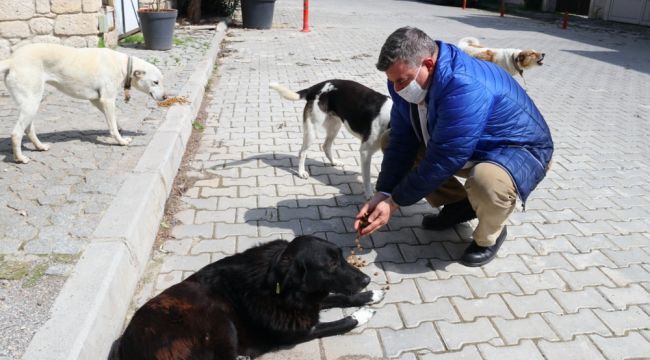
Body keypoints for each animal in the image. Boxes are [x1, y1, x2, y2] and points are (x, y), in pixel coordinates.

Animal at [1, 42, 167, 165]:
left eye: (161, 81)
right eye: (155, 82)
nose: (166, 97)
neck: (123, 65)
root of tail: (12, 60)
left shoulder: (96, 100)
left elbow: (113, 121)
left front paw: (120, 127)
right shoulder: (107, 100)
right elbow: (113, 126)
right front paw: (120, 140)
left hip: (31, 103)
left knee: (28, 129)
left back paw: (40, 147)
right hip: (31, 103)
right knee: (16, 133)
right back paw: (20, 158)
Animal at [108, 235, 382, 358]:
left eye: (342, 257)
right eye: (331, 265)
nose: (366, 280)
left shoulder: (310, 302)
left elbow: (339, 297)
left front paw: (370, 295)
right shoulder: (302, 331)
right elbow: (341, 323)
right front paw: (362, 314)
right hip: (221, 323)